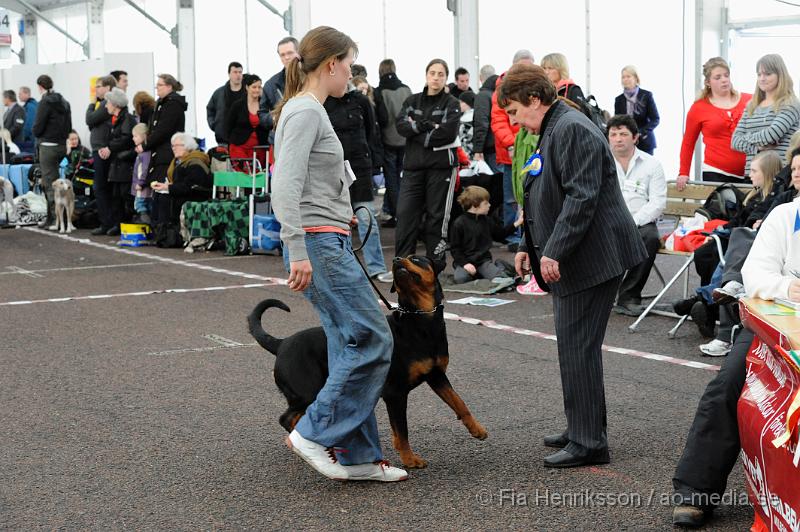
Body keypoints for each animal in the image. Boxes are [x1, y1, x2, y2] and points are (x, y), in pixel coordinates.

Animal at [248, 256, 488, 468]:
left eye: (417, 258)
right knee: (287, 417)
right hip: (308, 390)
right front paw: (410, 459)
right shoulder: (395, 393)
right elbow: (402, 429)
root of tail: (281, 343)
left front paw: (477, 430)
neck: (419, 320)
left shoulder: (436, 375)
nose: (396, 259)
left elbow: (458, 402)